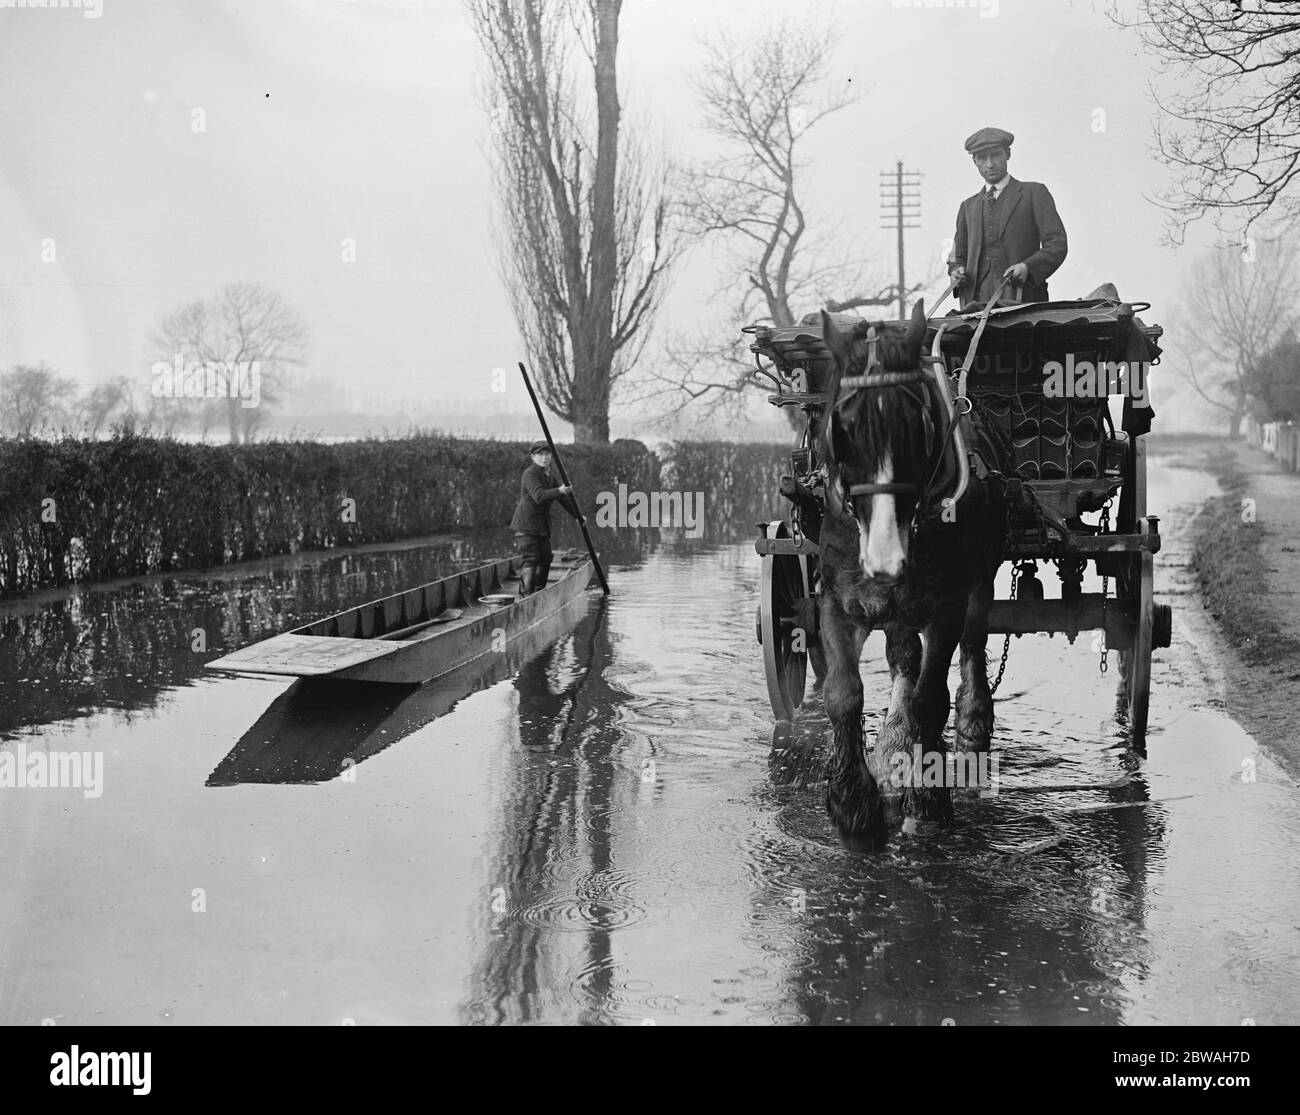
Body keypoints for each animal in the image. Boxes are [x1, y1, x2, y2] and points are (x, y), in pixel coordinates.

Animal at [816, 300, 1008, 847]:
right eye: (842, 427)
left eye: (915, 426)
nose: (885, 559)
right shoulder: (837, 598)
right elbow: (842, 693)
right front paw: (853, 805)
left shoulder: (945, 606)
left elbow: (930, 698)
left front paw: (927, 797)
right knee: (903, 655)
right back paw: (892, 747)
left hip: (979, 582)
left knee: (972, 646)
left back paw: (970, 726)